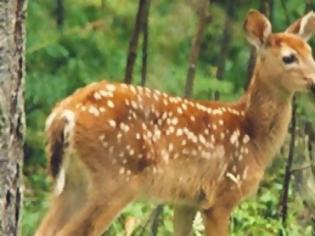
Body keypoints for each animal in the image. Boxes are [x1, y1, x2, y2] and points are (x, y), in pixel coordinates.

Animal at [34, 9, 315, 236]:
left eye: (310, 52)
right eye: (289, 57)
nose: (313, 81)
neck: (252, 134)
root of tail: (66, 111)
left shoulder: (187, 201)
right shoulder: (222, 196)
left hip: (75, 183)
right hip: (115, 178)